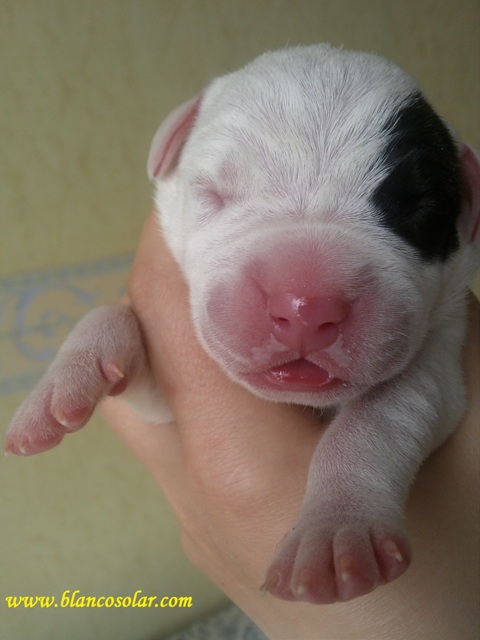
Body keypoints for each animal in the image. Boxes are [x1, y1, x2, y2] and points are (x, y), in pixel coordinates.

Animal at [4, 46, 480, 604]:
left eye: (417, 209)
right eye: (213, 191)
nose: (304, 307)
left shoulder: (441, 359)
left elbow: (377, 419)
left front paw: (335, 530)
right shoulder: (164, 404)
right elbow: (118, 323)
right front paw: (64, 383)